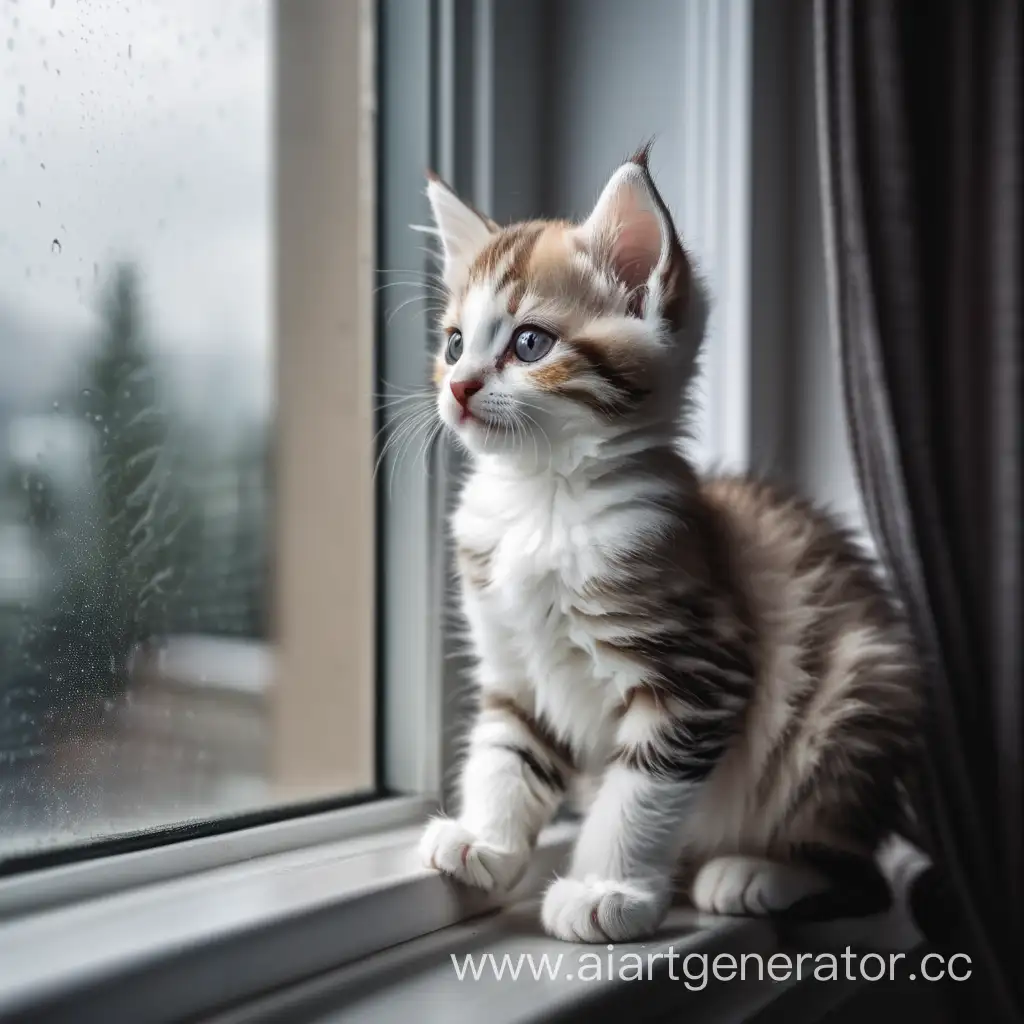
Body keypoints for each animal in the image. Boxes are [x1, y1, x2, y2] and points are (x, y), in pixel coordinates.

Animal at [415, 146, 921, 942]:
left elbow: (639, 791)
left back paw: (753, 873)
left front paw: (603, 888)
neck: (543, 502)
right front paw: (486, 840)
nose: (458, 387)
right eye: (454, 343)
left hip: (853, 700)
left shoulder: (697, 670)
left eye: (530, 343)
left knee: (861, 875)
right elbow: (505, 753)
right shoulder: (515, 668)